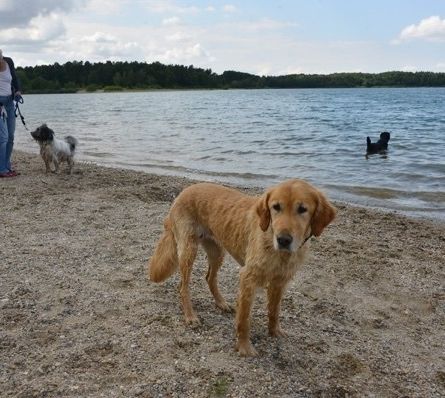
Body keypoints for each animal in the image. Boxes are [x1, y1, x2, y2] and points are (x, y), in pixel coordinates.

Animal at [147, 179, 334, 356]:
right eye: (276, 207)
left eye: (302, 209)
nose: (283, 240)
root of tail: (182, 193)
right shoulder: (248, 279)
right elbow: (244, 319)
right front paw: (244, 347)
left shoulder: (279, 282)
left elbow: (274, 311)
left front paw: (275, 332)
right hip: (188, 249)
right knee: (183, 286)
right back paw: (190, 315)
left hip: (217, 251)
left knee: (209, 278)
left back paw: (221, 303)